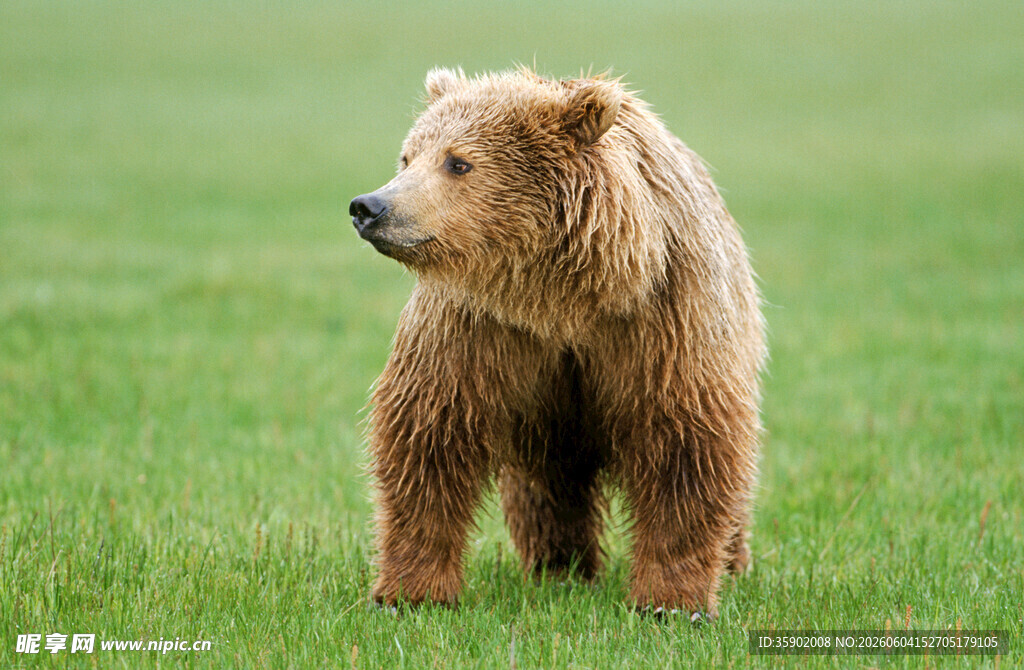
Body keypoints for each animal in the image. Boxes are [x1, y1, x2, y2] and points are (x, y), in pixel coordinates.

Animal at [349, 66, 766, 619]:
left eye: (458, 161)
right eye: (408, 156)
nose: (370, 206)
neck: (558, 298)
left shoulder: (662, 318)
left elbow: (685, 442)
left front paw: (672, 600)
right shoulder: (479, 327)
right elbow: (429, 434)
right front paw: (410, 591)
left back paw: (732, 561)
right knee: (547, 484)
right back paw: (558, 566)